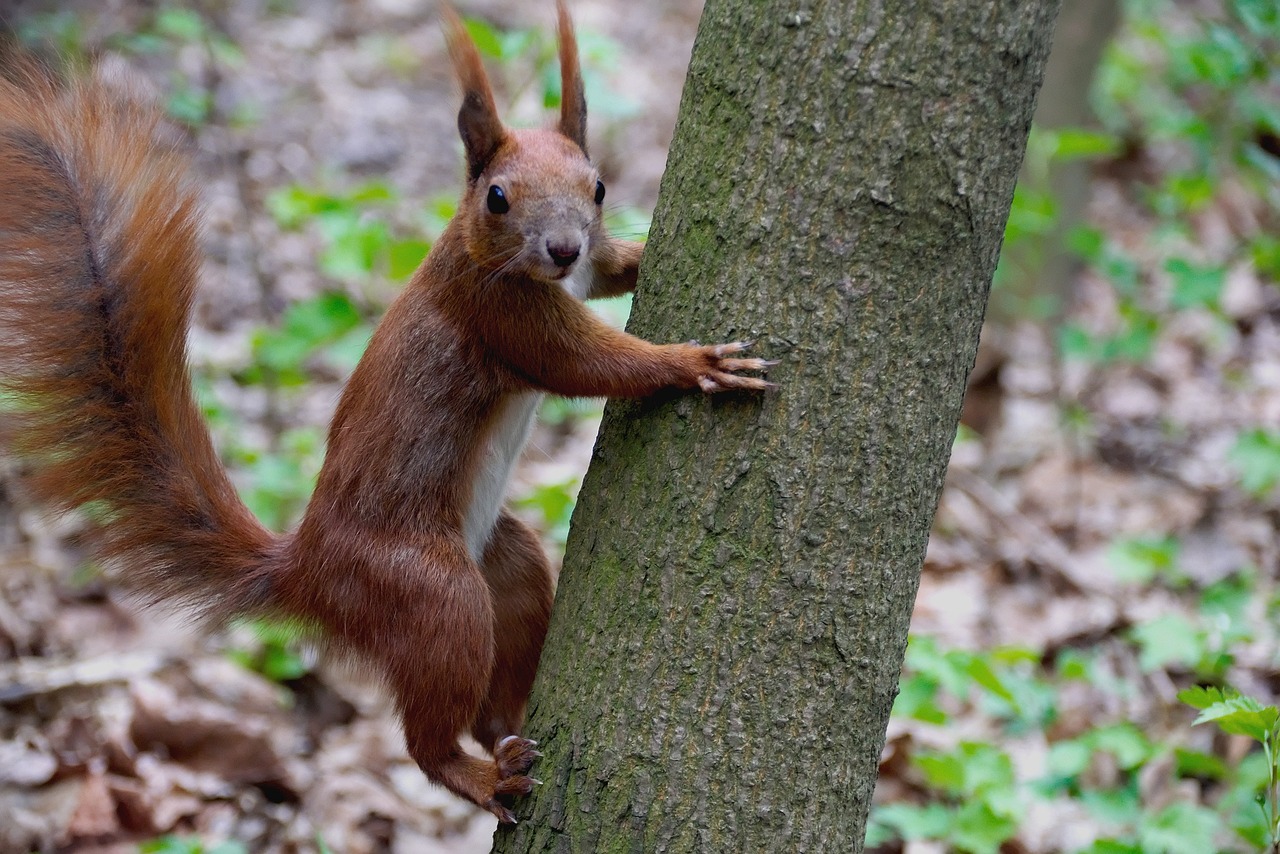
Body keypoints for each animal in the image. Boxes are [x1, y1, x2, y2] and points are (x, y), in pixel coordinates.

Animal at [0, 1, 768, 829]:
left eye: (596, 187)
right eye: (497, 197)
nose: (563, 248)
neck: (484, 252)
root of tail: (306, 569)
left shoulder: (578, 275)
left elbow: (612, 272)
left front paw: (634, 258)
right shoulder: (501, 316)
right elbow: (587, 365)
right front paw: (691, 363)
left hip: (504, 566)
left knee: (495, 682)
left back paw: (508, 733)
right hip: (430, 594)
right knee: (427, 739)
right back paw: (478, 777)